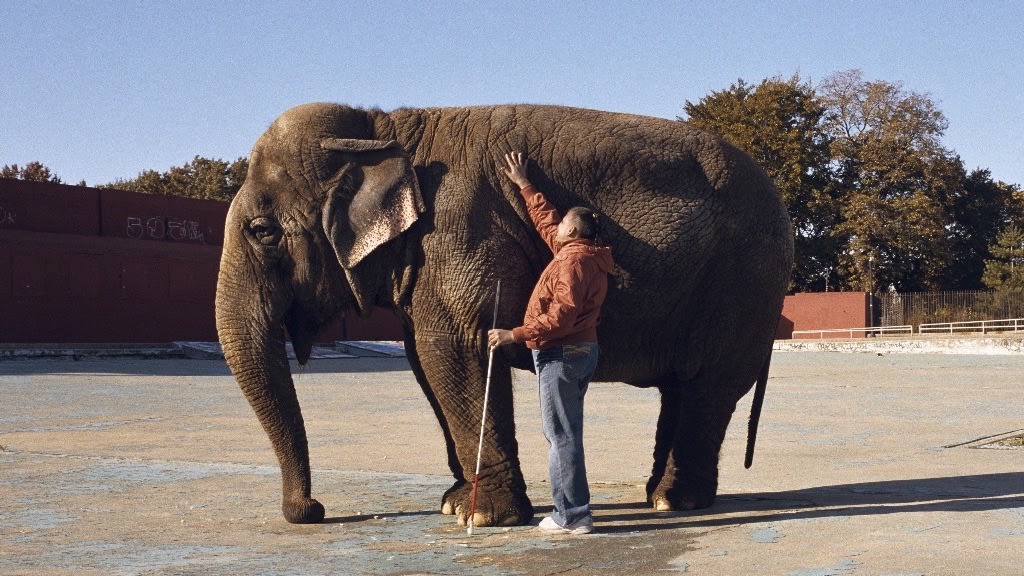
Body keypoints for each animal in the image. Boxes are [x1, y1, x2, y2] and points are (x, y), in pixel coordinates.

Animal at [214, 102, 794, 527]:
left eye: (262, 231)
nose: (312, 511)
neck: (385, 130)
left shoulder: (461, 232)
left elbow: (455, 349)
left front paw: (482, 517)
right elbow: (424, 360)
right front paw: (453, 501)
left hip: (744, 286)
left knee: (709, 385)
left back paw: (674, 501)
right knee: (682, 388)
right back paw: (656, 496)